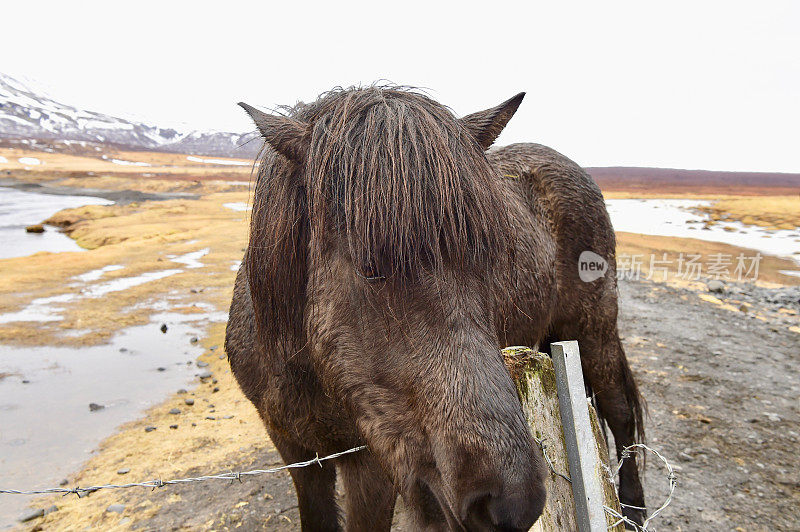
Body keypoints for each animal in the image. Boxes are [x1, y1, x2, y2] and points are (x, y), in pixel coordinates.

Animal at [223, 85, 644, 528]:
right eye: (370, 267)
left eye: (491, 258)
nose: (511, 503)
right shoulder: (297, 453)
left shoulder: (370, 466)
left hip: (594, 331)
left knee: (620, 414)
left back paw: (634, 508)